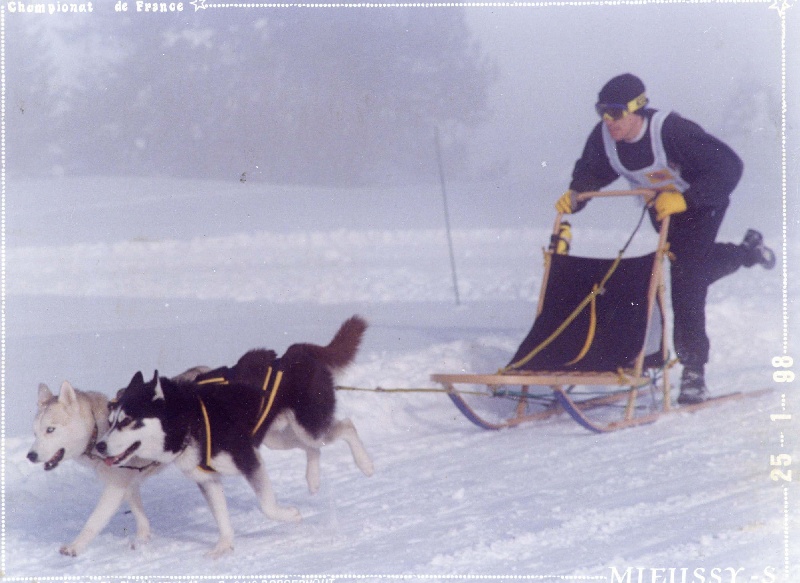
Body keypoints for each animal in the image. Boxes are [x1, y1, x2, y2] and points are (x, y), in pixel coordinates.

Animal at [26, 384, 162, 556]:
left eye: (50, 429)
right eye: (35, 433)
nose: (30, 456)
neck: (97, 431)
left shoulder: (115, 488)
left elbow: (93, 521)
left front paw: (74, 547)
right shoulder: (129, 483)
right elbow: (140, 515)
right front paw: (142, 540)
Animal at [95, 318, 374, 560]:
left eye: (127, 421)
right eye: (111, 421)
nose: (99, 445)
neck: (190, 421)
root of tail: (293, 354)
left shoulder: (249, 460)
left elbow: (266, 506)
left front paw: (291, 515)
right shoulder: (208, 479)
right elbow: (221, 518)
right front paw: (224, 547)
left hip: (308, 427)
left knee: (345, 426)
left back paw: (365, 464)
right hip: (275, 438)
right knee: (313, 449)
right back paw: (313, 479)